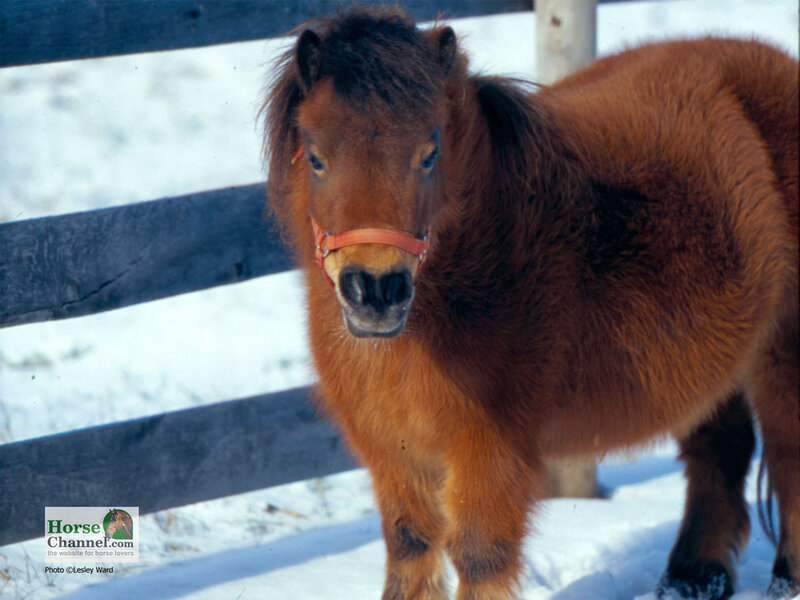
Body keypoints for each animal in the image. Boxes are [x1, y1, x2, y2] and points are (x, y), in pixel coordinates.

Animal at [262, 7, 798, 599]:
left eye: (430, 155)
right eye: (316, 157)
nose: (376, 291)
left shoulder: (491, 450)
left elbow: (479, 554)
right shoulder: (394, 453)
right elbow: (410, 546)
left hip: (782, 353)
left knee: (787, 456)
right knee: (720, 453)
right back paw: (692, 577)